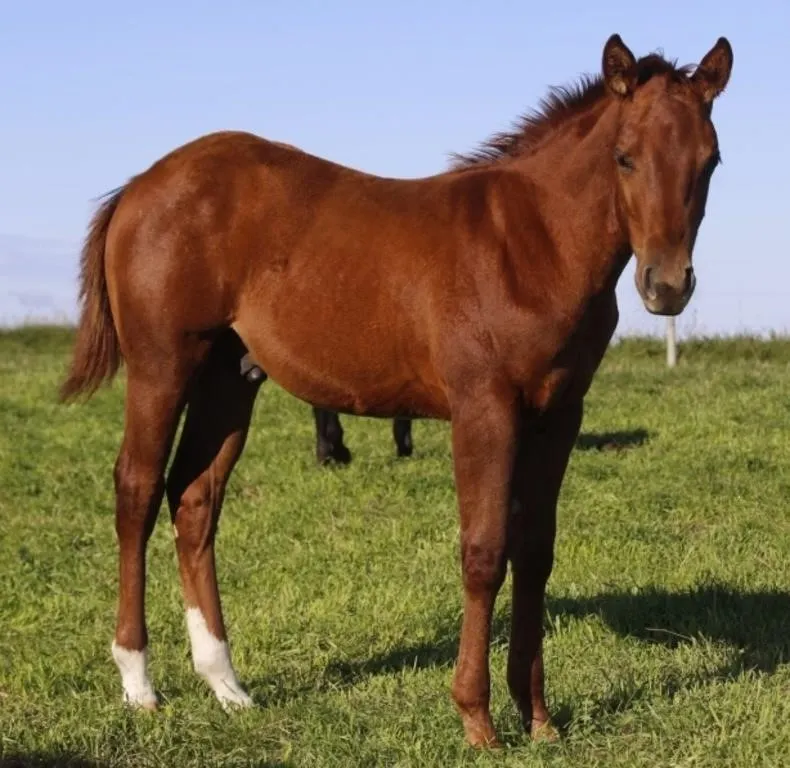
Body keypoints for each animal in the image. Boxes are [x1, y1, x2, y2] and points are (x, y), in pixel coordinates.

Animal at [60, 34, 732, 747]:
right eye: (624, 157)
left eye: (710, 160)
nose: (667, 286)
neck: (531, 244)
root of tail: (140, 185)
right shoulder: (484, 408)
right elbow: (484, 551)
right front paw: (477, 719)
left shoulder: (559, 415)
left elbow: (536, 552)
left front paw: (540, 719)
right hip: (162, 366)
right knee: (136, 489)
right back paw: (139, 683)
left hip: (229, 377)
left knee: (194, 498)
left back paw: (226, 685)